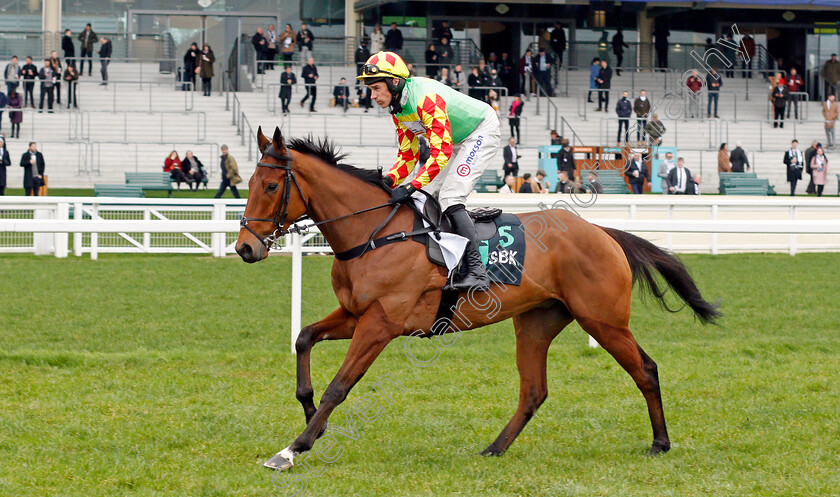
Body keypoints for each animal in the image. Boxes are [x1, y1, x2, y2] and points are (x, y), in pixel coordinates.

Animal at [236, 127, 720, 468]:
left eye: (272, 187)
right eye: (250, 183)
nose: (245, 247)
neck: (373, 233)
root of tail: (602, 232)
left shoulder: (381, 323)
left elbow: (340, 385)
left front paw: (294, 447)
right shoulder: (356, 314)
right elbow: (304, 338)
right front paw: (308, 415)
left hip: (603, 320)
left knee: (645, 369)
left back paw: (660, 442)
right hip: (536, 322)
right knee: (534, 391)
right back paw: (494, 448)